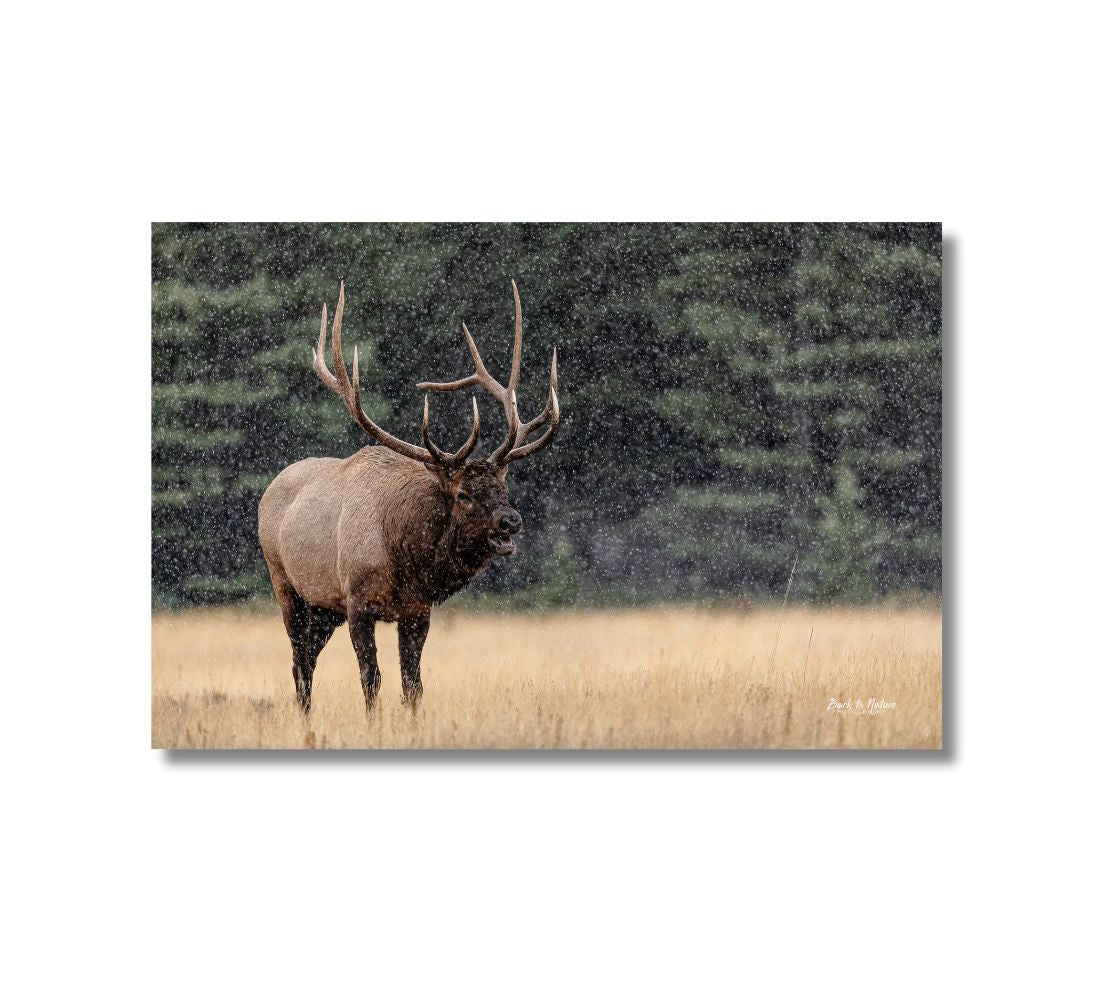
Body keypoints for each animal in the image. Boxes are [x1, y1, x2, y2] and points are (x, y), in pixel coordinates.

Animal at [259, 281, 560, 712]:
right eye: (464, 494)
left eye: (504, 488)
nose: (511, 521)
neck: (404, 558)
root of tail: (269, 491)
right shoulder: (357, 601)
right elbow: (371, 679)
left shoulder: (417, 609)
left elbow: (412, 684)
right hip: (285, 582)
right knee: (300, 664)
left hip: (324, 606)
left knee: (308, 660)